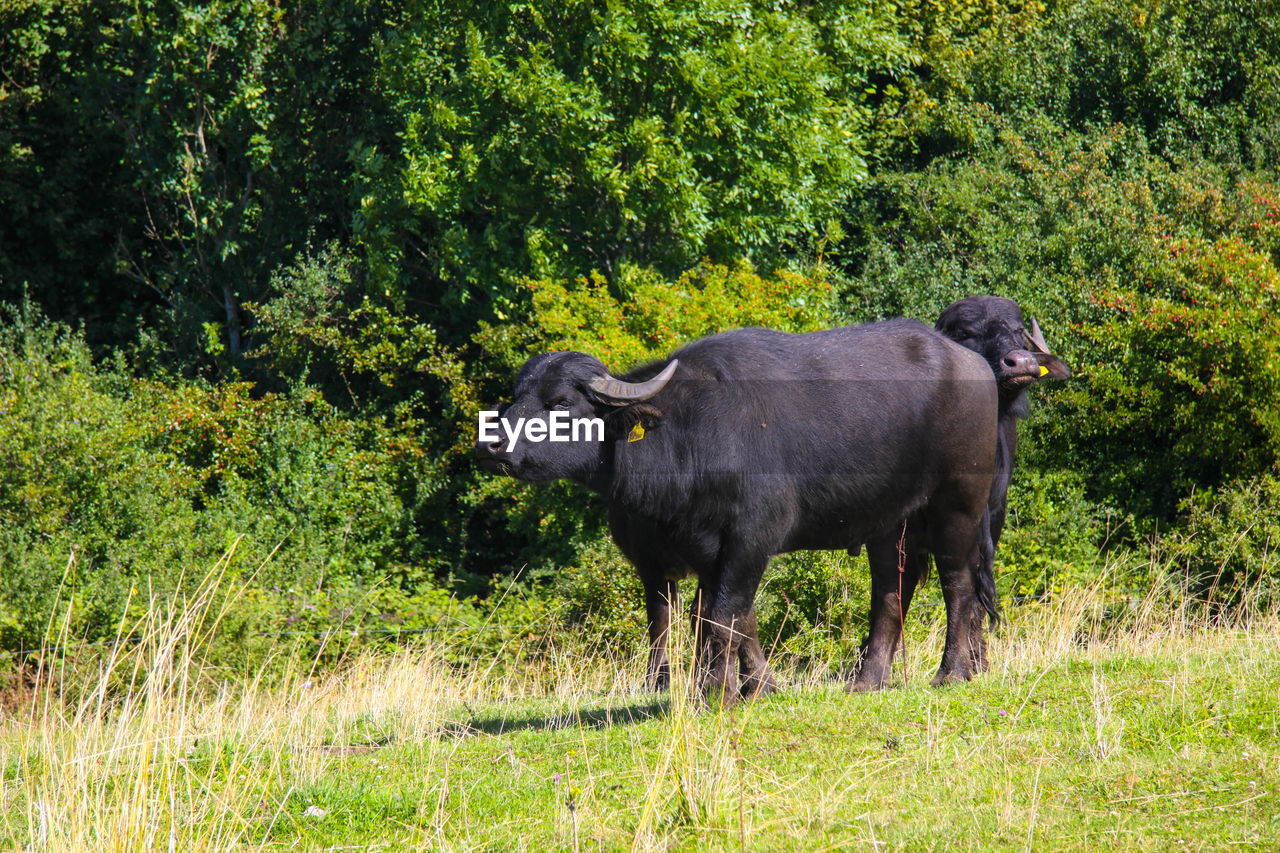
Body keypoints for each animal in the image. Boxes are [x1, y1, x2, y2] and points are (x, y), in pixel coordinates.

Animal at [478, 318, 998, 696]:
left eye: (561, 401)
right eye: (515, 396)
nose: (492, 444)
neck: (687, 437)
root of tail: (974, 365)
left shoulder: (752, 538)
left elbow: (723, 617)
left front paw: (719, 691)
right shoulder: (697, 551)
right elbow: (720, 619)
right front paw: (753, 686)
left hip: (959, 503)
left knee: (957, 584)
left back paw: (952, 672)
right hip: (890, 522)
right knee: (891, 592)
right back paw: (868, 680)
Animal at [860, 297, 1070, 686]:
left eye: (1019, 330)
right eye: (967, 332)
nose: (1021, 362)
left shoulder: (984, 523)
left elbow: (968, 588)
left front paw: (972, 662)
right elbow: (894, 591)